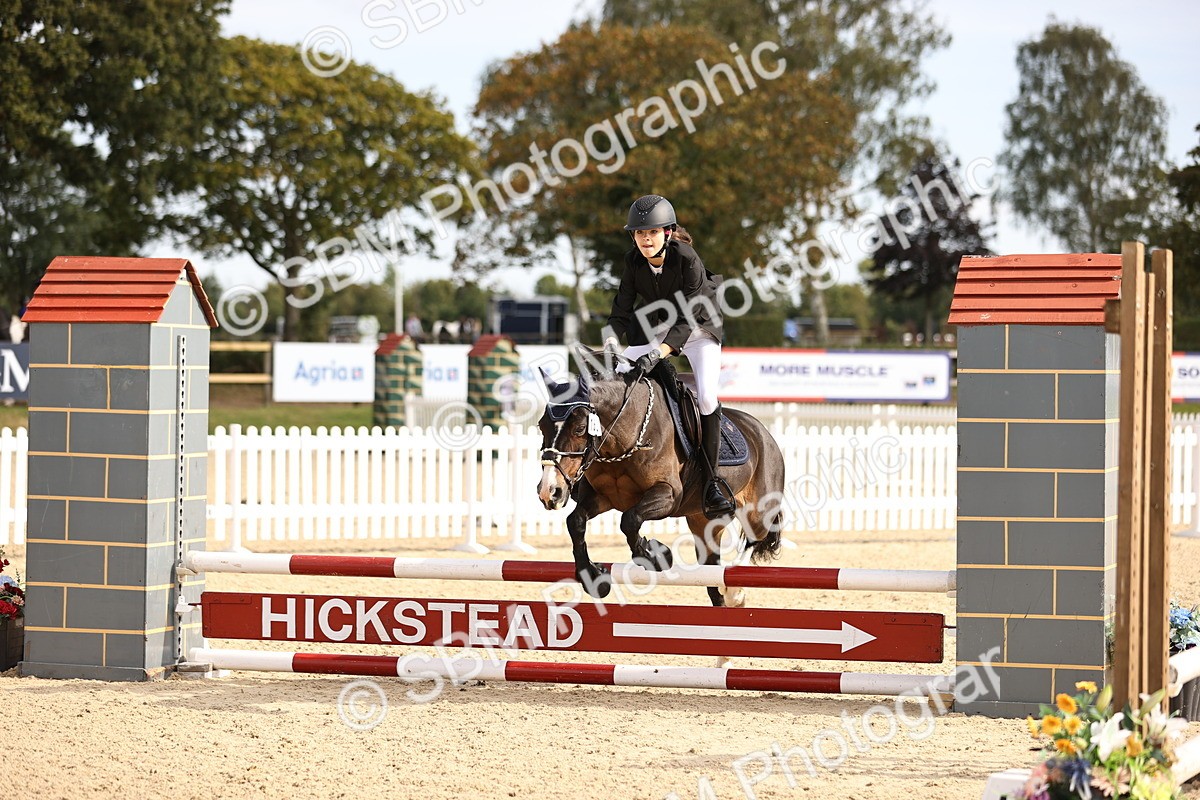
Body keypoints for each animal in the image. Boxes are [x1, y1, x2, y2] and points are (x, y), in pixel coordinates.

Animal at [536, 361, 786, 607]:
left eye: (579, 428)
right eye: (541, 426)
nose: (550, 492)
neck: (625, 438)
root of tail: (762, 431)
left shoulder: (668, 494)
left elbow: (630, 519)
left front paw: (656, 556)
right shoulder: (602, 498)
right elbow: (575, 521)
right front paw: (592, 575)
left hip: (758, 511)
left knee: (753, 538)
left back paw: (735, 591)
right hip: (704, 522)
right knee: (712, 576)